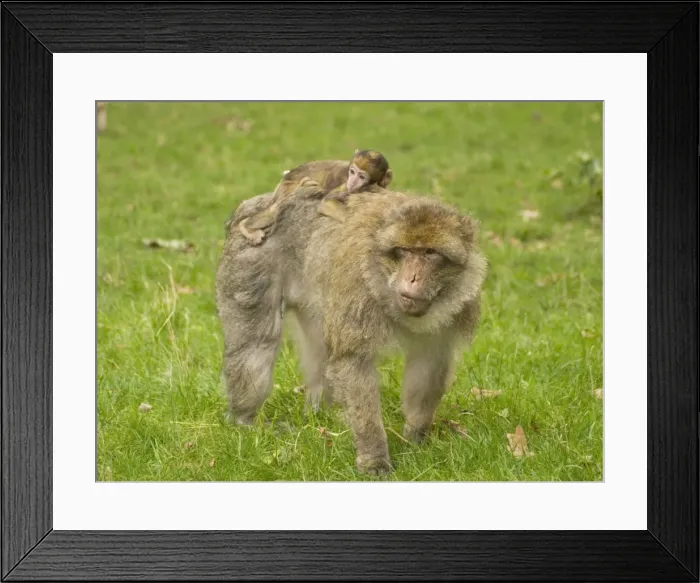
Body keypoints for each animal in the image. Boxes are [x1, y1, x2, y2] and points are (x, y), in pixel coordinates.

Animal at [215, 183, 487, 476]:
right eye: (404, 251)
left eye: (430, 253)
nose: (412, 278)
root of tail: (255, 204)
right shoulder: (357, 288)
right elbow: (353, 362)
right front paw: (373, 456)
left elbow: (429, 363)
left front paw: (415, 436)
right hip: (250, 262)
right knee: (256, 344)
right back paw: (245, 419)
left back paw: (320, 415)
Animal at [236, 150, 393, 246]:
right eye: (352, 172)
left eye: (362, 177)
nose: (352, 182)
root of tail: (289, 173)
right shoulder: (345, 185)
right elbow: (327, 202)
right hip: (289, 185)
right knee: (277, 207)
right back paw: (245, 226)